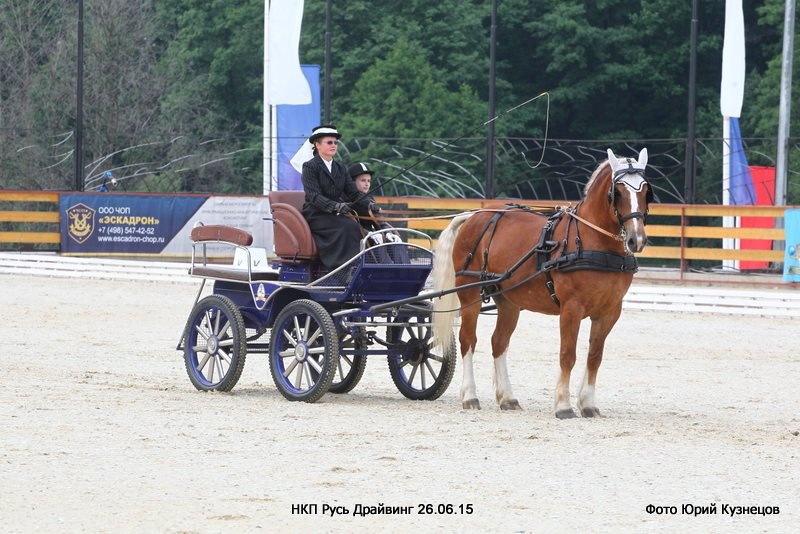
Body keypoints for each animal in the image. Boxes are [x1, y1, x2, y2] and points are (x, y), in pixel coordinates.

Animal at [434, 149, 652, 420]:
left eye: (646, 190)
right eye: (618, 192)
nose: (637, 240)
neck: (593, 241)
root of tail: (475, 215)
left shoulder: (610, 311)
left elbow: (594, 356)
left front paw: (588, 404)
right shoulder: (571, 308)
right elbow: (568, 355)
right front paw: (563, 405)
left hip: (509, 301)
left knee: (499, 342)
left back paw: (508, 398)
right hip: (470, 293)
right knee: (468, 340)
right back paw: (470, 396)